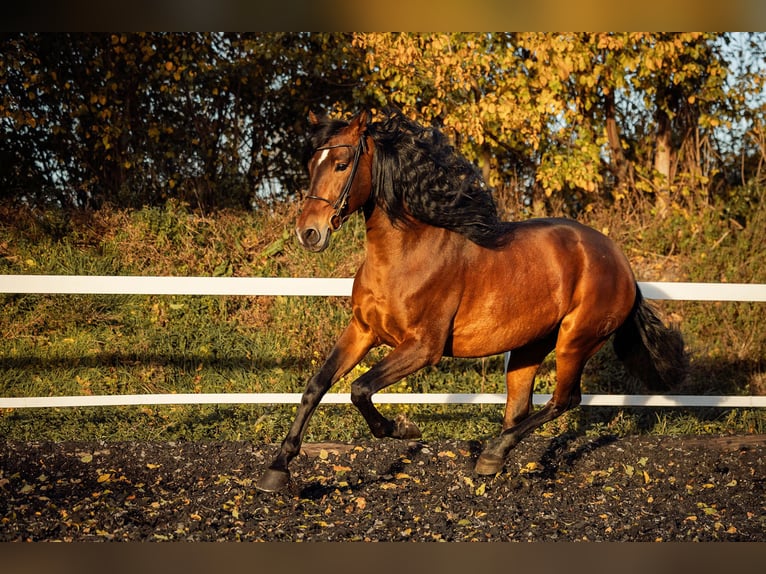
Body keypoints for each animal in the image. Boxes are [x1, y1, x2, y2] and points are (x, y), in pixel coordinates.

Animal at [255, 108, 686, 492]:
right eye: (312, 163)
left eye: (342, 164)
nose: (308, 233)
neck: (404, 255)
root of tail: (621, 263)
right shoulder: (362, 331)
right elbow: (317, 385)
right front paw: (276, 471)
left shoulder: (422, 348)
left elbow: (360, 389)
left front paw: (403, 428)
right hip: (530, 345)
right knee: (520, 408)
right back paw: (494, 460)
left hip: (575, 341)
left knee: (564, 400)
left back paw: (492, 453)